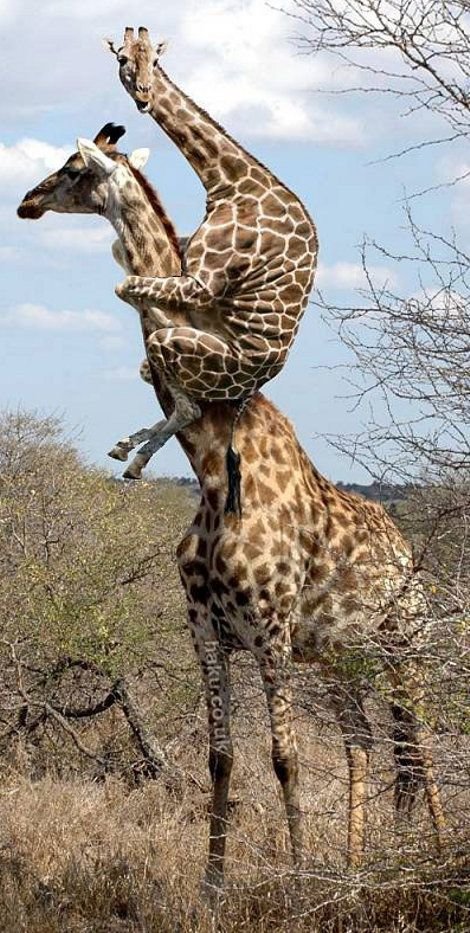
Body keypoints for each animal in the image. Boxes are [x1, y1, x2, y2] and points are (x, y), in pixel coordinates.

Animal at [17, 130, 445, 890]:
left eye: (72, 169)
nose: (26, 202)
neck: (213, 473)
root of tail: (408, 560)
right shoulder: (206, 632)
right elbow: (222, 758)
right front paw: (214, 883)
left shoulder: (270, 632)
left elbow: (286, 757)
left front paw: (300, 883)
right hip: (341, 661)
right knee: (371, 745)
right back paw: (362, 867)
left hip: (407, 650)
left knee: (420, 749)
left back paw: (433, 857)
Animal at [104, 26, 318, 506]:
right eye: (123, 58)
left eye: (154, 61)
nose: (143, 96)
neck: (229, 182)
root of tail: (254, 383)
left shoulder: (200, 282)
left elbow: (129, 285)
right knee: (159, 383)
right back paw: (127, 449)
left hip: (186, 350)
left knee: (186, 398)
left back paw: (134, 458)